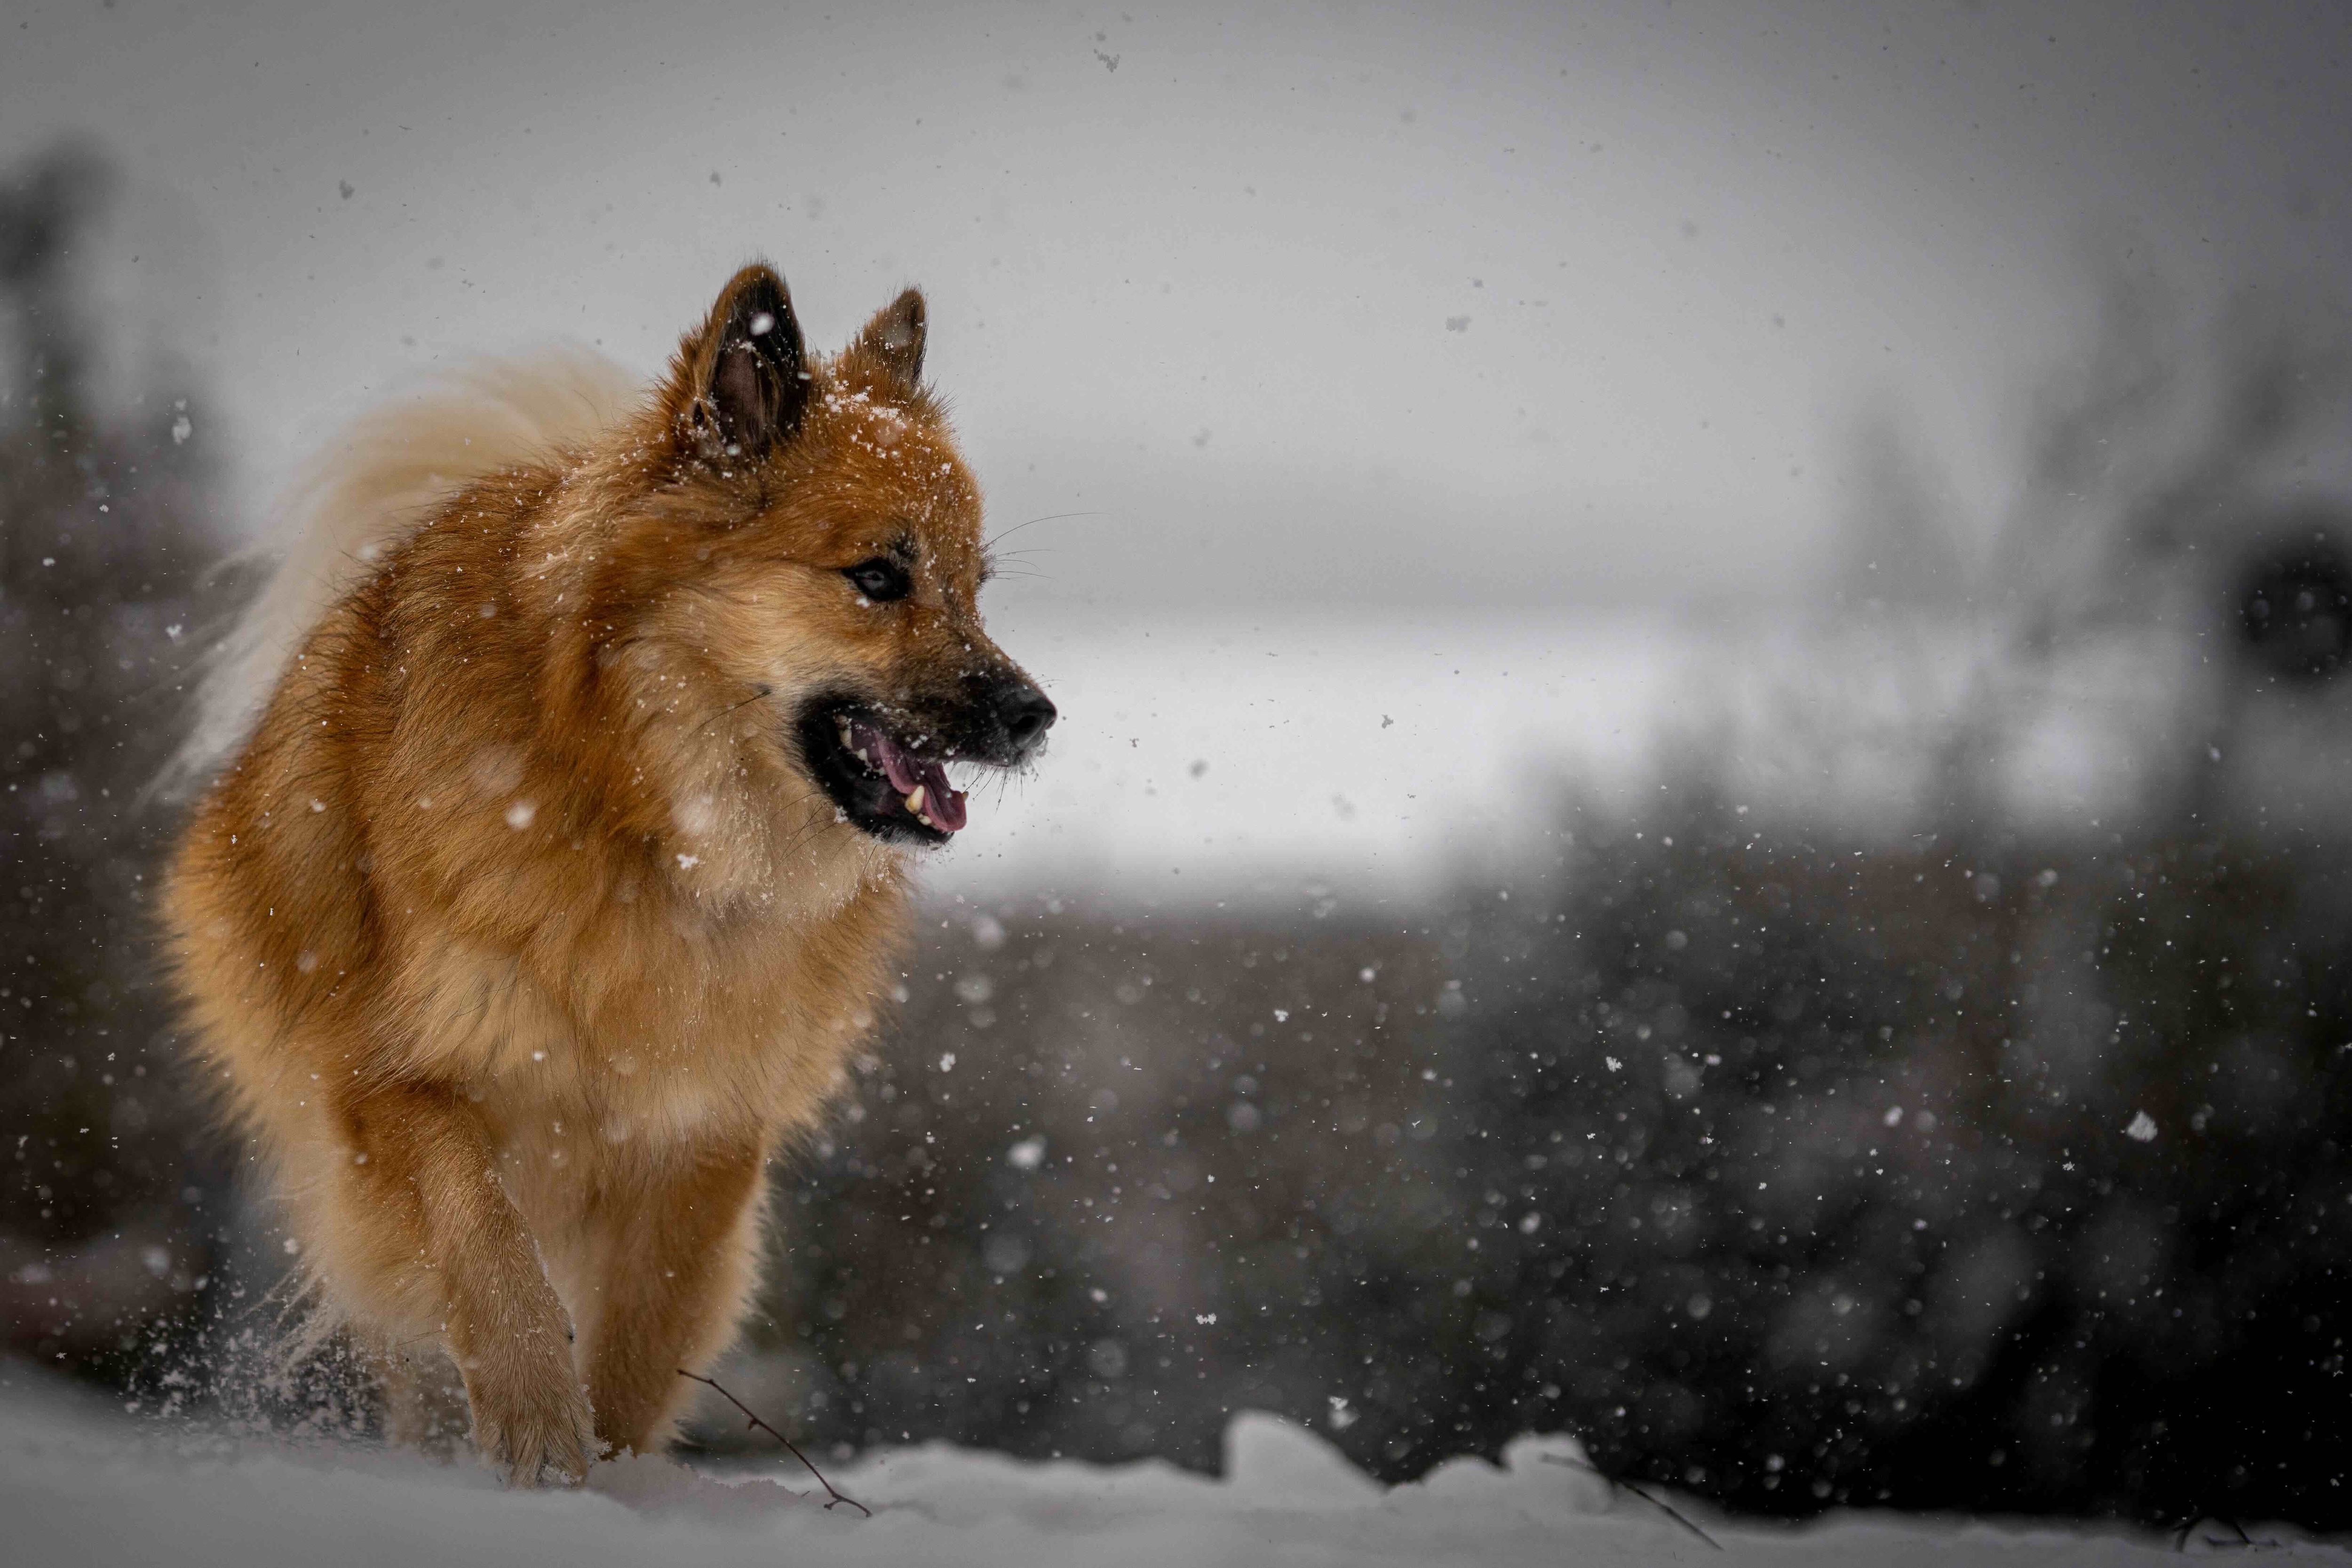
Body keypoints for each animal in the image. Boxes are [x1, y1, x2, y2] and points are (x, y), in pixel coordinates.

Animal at [166, 267, 1049, 1486]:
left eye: (974, 588)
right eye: (878, 576)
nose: (1036, 715)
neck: (646, 825)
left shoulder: (704, 1133)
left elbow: (646, 1333)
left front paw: (619, 1473)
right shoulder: (393, 1083)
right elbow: (487, 1245)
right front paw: (540, 1433)